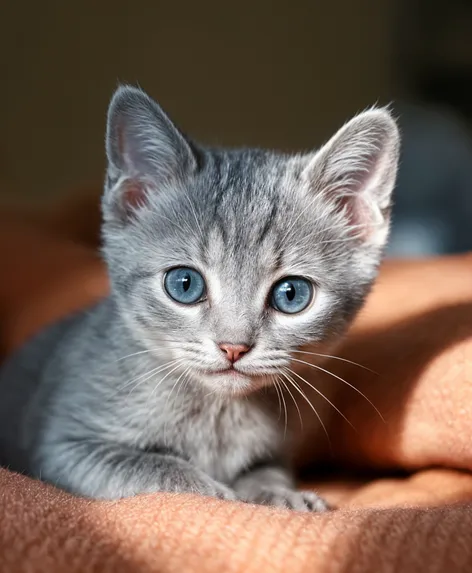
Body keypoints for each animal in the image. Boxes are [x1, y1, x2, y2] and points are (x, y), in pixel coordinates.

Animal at [0, 87, 400, 512]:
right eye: (184, 284)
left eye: (291, 294)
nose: (233, 347)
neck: (218, 416)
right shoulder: (65, 445)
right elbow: (156, 469)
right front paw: (215, 492)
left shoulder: (272, 453)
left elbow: (265, 471)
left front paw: (280, 495)